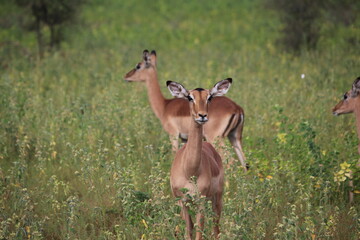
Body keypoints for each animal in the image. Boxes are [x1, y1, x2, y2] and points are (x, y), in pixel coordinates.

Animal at [167, 78, 231, 238]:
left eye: (210, 97)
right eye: (190, 97)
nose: (202, 116)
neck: (190, 171)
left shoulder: (200, 202)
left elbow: (199, 233)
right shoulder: (183, 202)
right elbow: (189, 232)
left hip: (217, 199)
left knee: (216, 229)